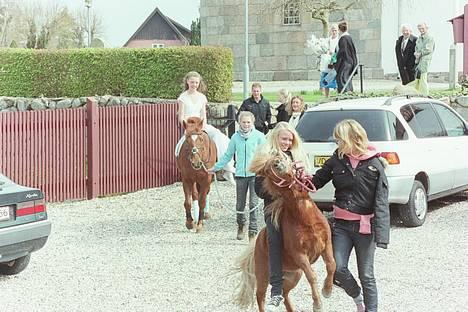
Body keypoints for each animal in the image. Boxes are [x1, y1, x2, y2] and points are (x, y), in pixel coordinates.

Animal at [234, 152, 336, 310]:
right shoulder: (299, 254)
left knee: (284, 292)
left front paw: (327, 290)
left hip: (294, 275)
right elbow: (312, 276)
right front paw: (318, 303)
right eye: (268, 169)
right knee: (260, 295)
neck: (304, 218)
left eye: (285, 158)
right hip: (263, 275)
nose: (277, 162)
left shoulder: (326, 244)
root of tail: (258, 241)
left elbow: (331, 265)